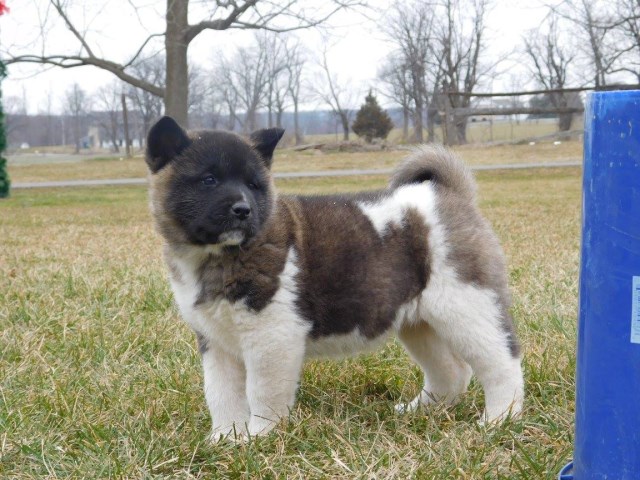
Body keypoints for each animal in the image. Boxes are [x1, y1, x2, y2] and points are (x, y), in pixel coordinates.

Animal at [145, 117, 524, 442]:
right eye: (208, 180)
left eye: (253, 185)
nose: (243, 210)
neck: (217, 256)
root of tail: (449, 195)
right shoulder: (216, 342)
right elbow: (220, 393)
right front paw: (225, 439)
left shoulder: (272, 337)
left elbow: (262, 392)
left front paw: (259, 437)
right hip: (420, 323)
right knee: (452, 371)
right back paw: (421, 411)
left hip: (467, 305)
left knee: (501, 362)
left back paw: (499, 419)